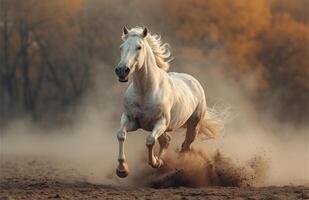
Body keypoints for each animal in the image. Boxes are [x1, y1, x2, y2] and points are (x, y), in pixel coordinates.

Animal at [114, 25, 218, 177]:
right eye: (121, 47)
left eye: (139, 47)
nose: (122, 70)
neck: (146, 91)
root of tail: (195, 82)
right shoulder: (131, 119)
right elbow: (121, 135)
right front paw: (122, 170)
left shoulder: (160, 122)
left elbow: (150, 141)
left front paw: (155, 162)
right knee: (167, 141)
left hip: (193, 126)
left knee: (186, 146)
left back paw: (181, 169)